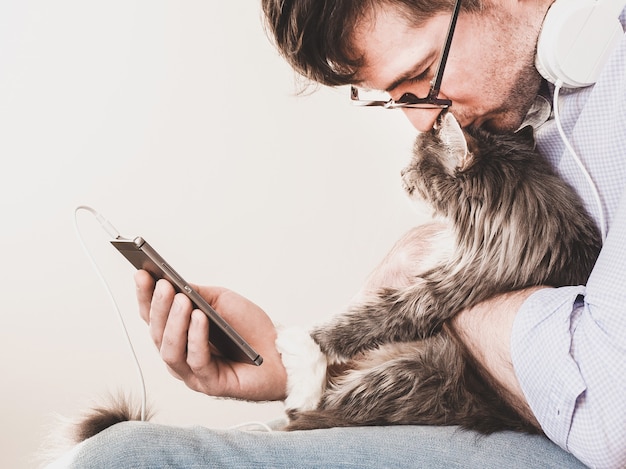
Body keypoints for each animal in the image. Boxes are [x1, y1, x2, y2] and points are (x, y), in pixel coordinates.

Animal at [286, 111, 600, 434]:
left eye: (415, 165)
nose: (400, 173)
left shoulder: (437, 292)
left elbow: (360, 322)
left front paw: (303, 342)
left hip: (414, 371)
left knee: (322, 406)